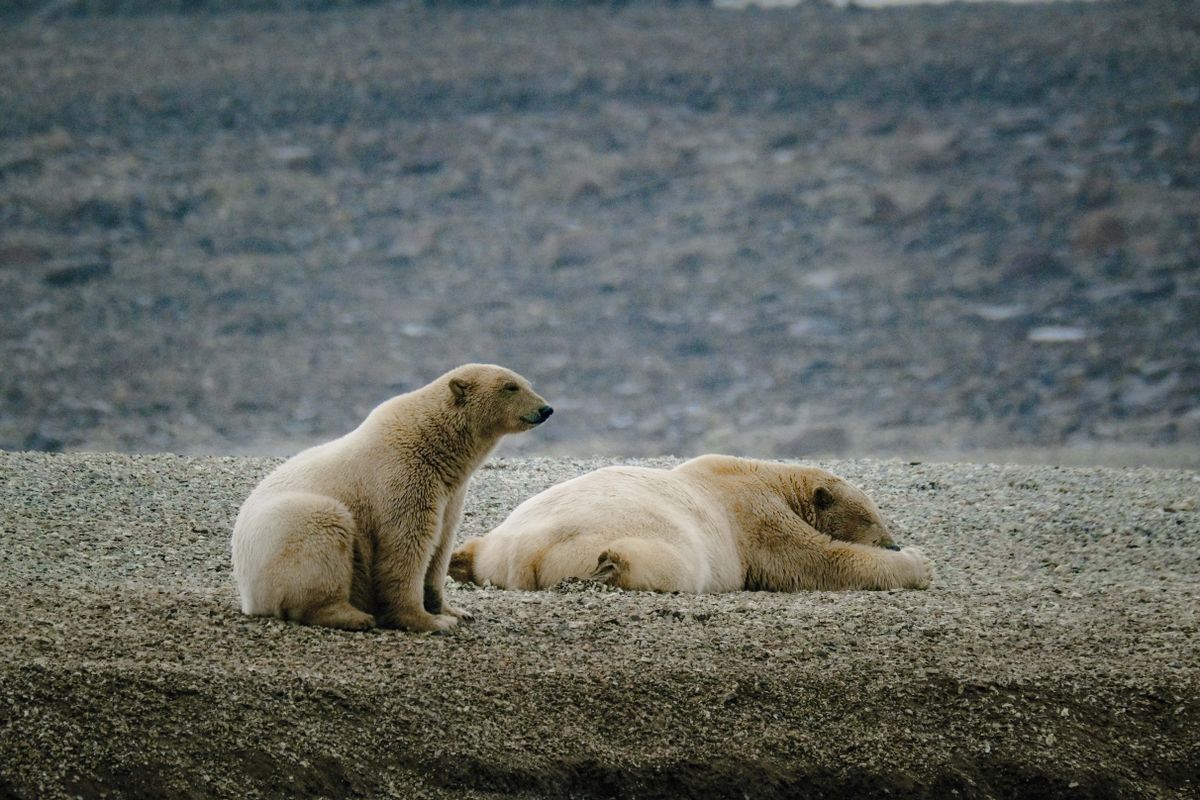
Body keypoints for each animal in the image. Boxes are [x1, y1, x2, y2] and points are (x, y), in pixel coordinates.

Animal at [231, 363, 552, 632]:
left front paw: (456, 612)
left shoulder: (449, 492)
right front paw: (429, 621)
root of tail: (247, 594)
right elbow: (406, 545)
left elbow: (441, 545)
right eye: (510, 387)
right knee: (324, 536)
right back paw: (353, 616)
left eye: (526, 382)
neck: (433, 445)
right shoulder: (402, 478)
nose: (546, 409)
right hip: (290, 528)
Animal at [449, 454, 931, 593]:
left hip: (501, 538)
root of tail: (523, 555)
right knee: (665, 564)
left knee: (476, 545)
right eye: (872, 517)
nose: (892, 543)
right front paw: (918, 562)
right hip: (648, 542)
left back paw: (458, 559)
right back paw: (610, 566)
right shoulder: (753, 513)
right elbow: (816, 562)